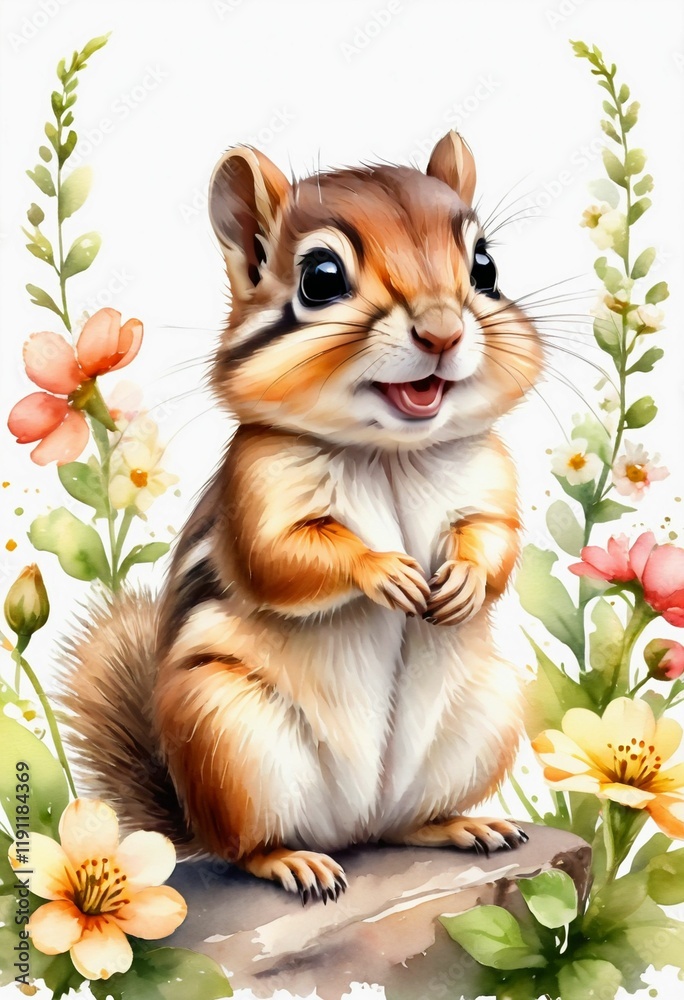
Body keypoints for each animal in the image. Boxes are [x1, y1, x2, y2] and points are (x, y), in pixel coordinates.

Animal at [59, 130, 543, 904]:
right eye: (320, 276)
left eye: (486, 265)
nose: (441, 332)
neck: (388, 452)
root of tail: (354, 826)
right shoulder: (256, 497)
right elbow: (281, 559)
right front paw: (385, 572)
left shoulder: (490, 481)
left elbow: (495, 539)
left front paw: (463, 580)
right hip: (228, 736)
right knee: (246, 846)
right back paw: (295, 863)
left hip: (488, 712)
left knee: (404, 823)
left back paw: (463, 825)